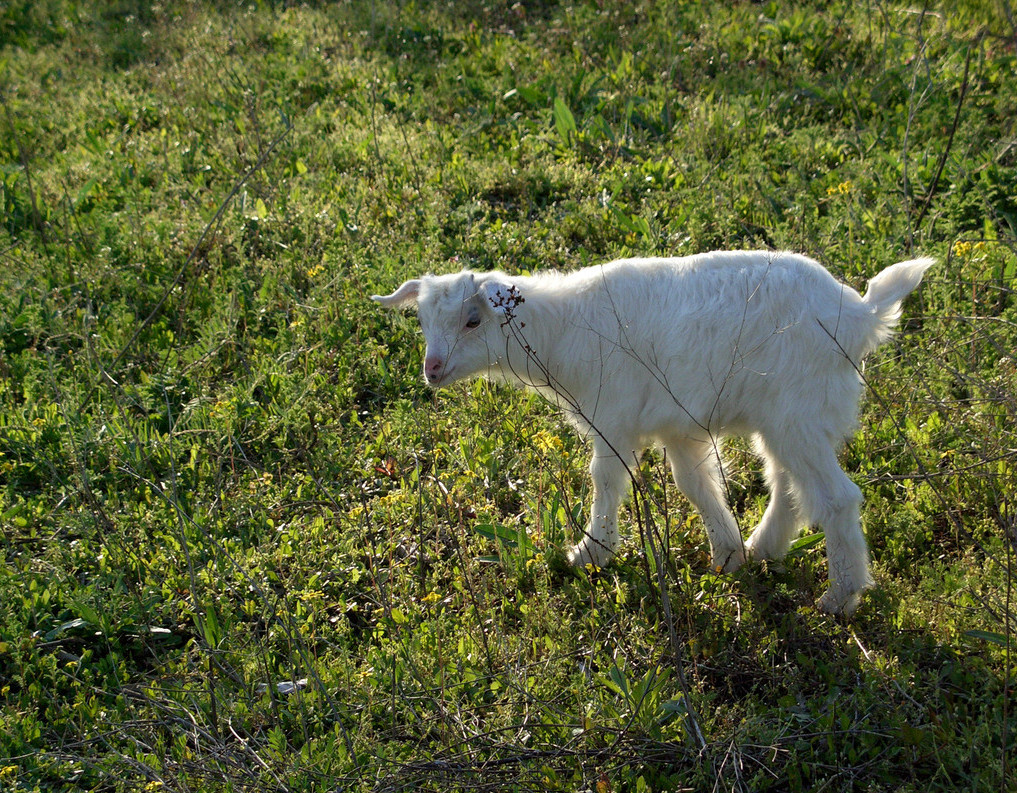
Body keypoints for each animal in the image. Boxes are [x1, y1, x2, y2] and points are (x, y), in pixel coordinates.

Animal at [372, 251, 931, 618]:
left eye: (472, 320)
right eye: (421, 319)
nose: (431, 370)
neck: (562, 330)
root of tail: (860, 315)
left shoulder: (613, 416)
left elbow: (605, 479)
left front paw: (589, 554)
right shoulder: (681, 426)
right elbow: (697, 485)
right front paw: (727, 556)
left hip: (798, 410)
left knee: (835, 498)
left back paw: (840, 598)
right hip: (787, 417)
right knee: (789, 486)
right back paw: (763, 548)